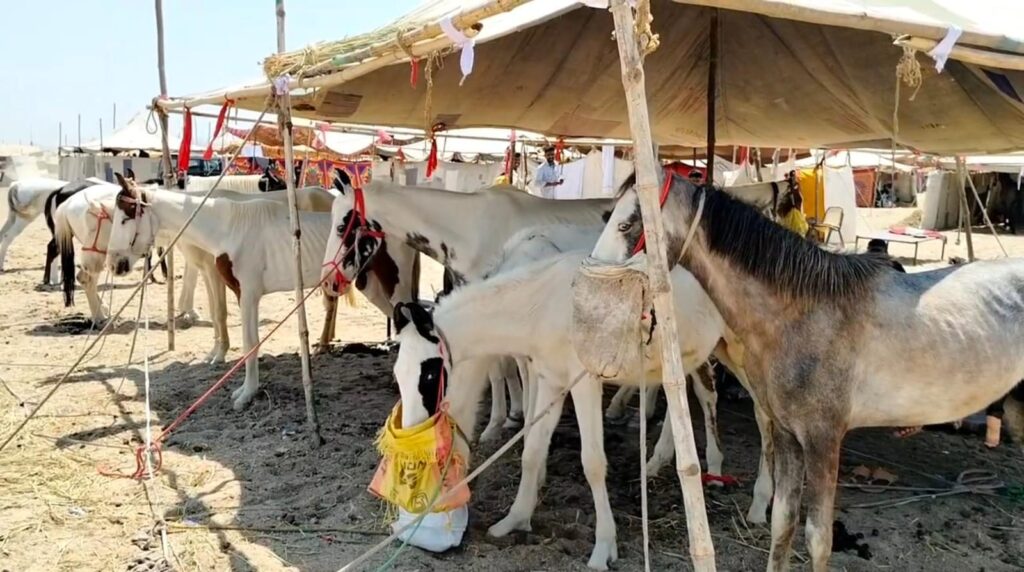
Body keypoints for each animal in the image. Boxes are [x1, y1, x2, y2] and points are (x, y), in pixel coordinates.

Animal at [390, 247, 767, 570]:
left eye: (429, 373)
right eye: (398, 373)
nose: (412, 434)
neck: (542, 306)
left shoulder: (585, 383)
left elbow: (593, 463)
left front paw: (603, 548)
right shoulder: (551, 380)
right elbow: (532, 450)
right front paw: (514, 520)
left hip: (742, 354)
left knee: (764, 417)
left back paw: (759, 502)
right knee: (690, 399)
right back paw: (668, 463)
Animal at [591, 171, 1024, 571]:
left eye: (627, 225)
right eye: (608, 216)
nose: (595, 289)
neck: (804, 312)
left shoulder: (823, 440)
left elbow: (818, 538)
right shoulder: (788, 434)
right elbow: (782, 521)